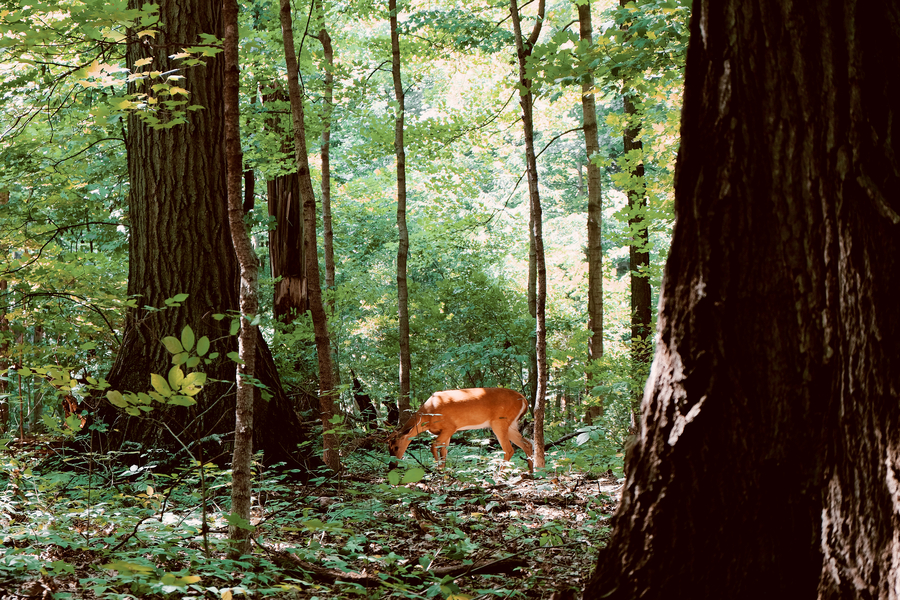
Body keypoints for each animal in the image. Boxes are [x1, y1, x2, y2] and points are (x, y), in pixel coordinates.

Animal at [387, 387, 534, 473]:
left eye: (396, 447)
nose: (391, 466)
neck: (428, 415)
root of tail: (524, 400)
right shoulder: (445, 431)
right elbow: (444, 450)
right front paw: (443, 469)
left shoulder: (450, 427)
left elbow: (433, 445)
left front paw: (437, 468)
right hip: (511, 424)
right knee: (527, 444)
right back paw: (531, 471)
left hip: (499, 421)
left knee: (509, 449)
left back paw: (498, 474)